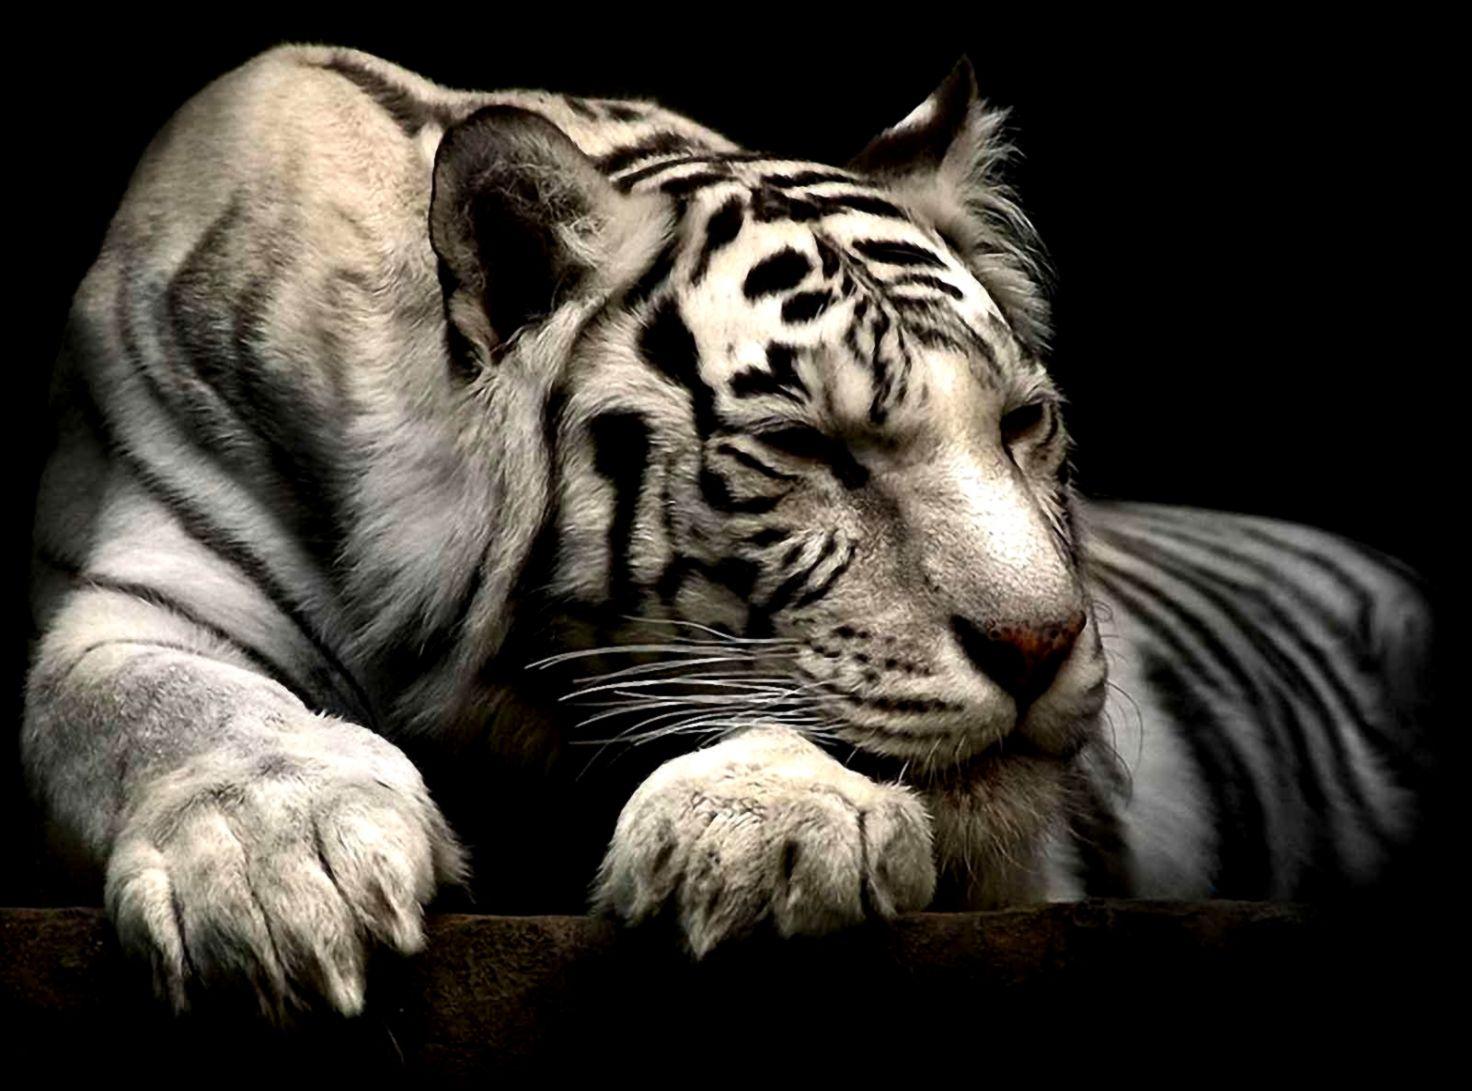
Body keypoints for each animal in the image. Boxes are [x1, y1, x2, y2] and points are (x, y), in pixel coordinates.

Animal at [21, 44, 1435, 1020]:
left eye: (1022, 423)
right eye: (808, 448)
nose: (1040, 644)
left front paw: (762, 829)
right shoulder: (137, 592)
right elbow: (160, 705)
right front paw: (280, 863)